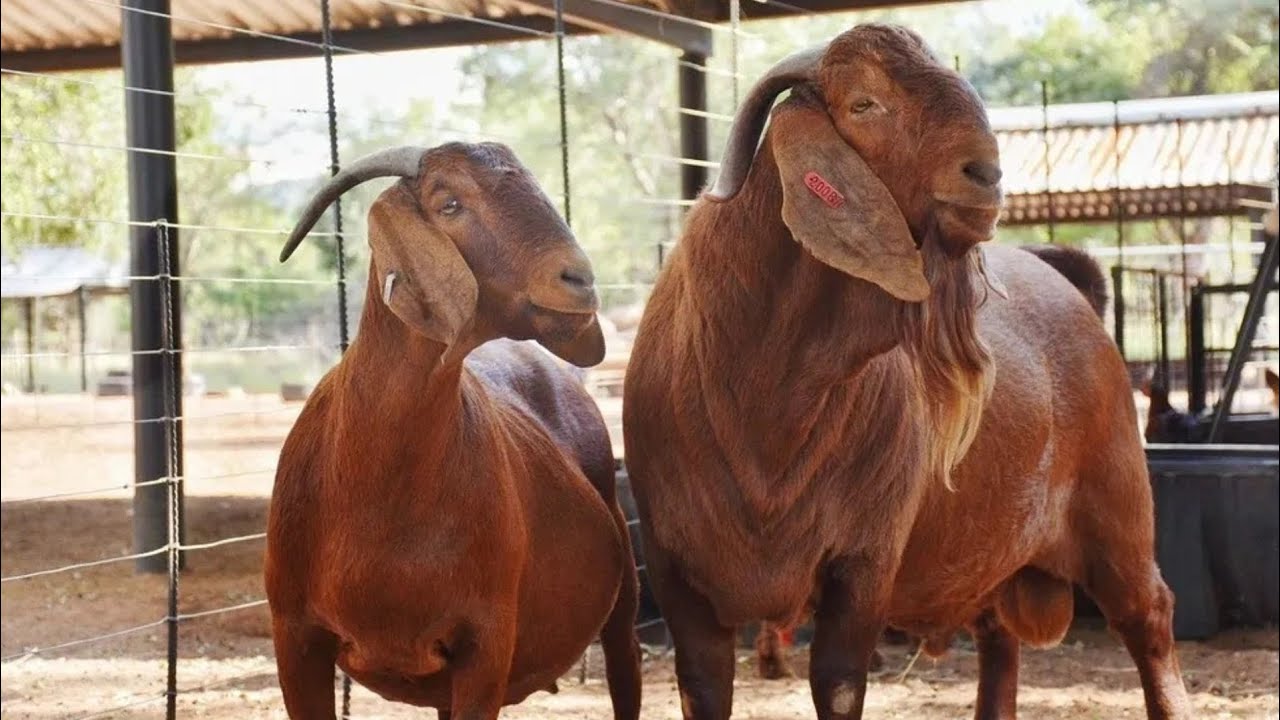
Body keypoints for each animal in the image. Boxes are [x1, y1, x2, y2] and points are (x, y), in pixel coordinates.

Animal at [622, 24, 1190, 720]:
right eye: (864, 103)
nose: (986, 174)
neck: (767, 396)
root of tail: (1071, 283)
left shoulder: (864, 559)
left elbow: (838, 682)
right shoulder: (676, 572)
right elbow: (703, 686)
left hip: (1118, 508)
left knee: (1148, 618)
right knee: (999, 638)